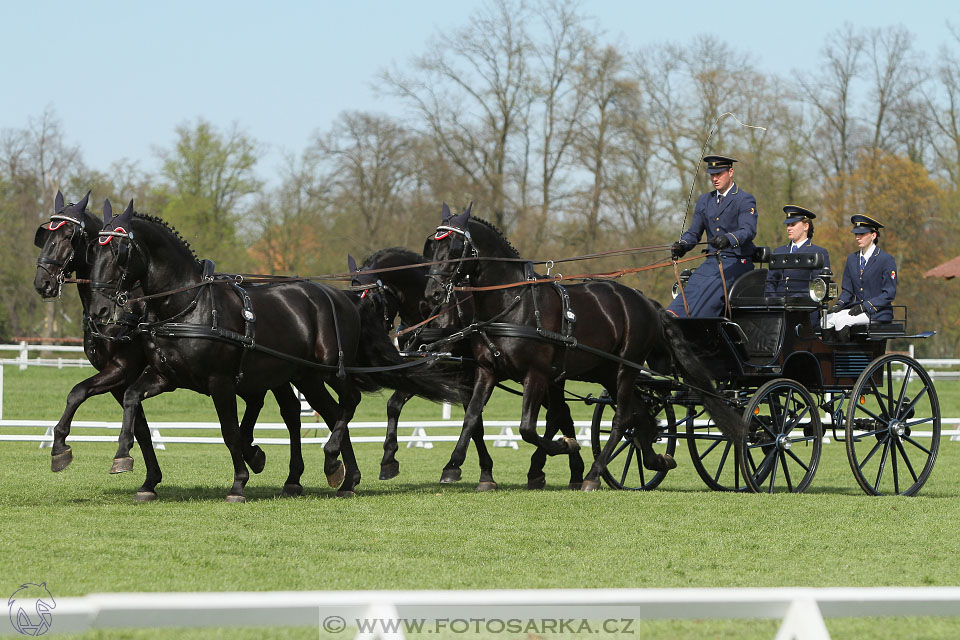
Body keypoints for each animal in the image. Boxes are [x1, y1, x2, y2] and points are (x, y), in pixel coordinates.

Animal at [33, 195, 304, 500]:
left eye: (70, 235)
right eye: (45, 236)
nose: (42, 282)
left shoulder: (122, 370)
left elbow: (115, 411)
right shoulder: (122, 380)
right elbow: (123, 417)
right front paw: (147, 478)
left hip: (276, 372)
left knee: (290, 412)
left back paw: (290, 476)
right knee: (260, 402)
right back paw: (255, 455)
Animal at [86, 202, 458, 502]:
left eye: (118, 250)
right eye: (94, 250)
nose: (100, 309)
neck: (188, 305)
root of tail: (346, 298)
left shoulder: (220, 382)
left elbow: (230, 432)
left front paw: (239, 483)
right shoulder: (164, 376)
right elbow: (132, 397)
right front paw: (123, 457)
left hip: (326, 370)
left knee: (348, 402)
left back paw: (332, 458)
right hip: (306, 377)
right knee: (333, 411)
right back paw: (345, 477)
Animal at [348, 241, 580, 490]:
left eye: (372, 301)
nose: (364, 343)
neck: (437, 313)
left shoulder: (464, 376)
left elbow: (475, 422)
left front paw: (474, 471)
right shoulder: (425, 368)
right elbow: (394, 405)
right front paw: (389, 459)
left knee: (559, 414)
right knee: (562, 413)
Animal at [420, 204, 744, 490]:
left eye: (454, 249)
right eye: (430, 248)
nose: (433, 293)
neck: (514, 303)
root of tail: (645, 302)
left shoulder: (537, 374)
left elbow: (528, 428)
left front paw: (565, 446)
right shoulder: (487, 371)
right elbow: (472, 417)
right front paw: (454, 466)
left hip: (625, 369)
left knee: (622, 418)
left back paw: (594, 475)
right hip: (607, 372)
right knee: (640, 415)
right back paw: (655, 461)